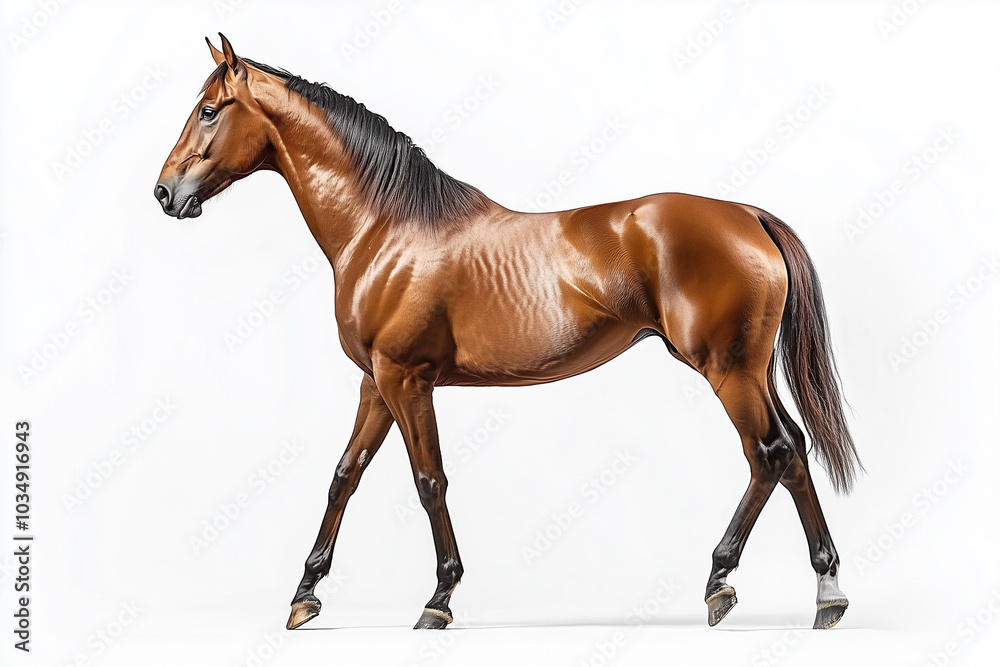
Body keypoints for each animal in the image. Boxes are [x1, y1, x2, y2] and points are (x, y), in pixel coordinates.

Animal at [155, 35, 861, 632]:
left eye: (210, 111)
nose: (165, 193)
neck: (385, 229)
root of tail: (747, 214)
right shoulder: (374, 382)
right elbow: (344, 474)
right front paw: (305, 595)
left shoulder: (407, 379)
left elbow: (428, 480)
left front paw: (439, 599)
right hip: (751, 371)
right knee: (792, 453)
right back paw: (805, 589)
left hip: (728, 370)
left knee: (770, 453)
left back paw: (743, 583)